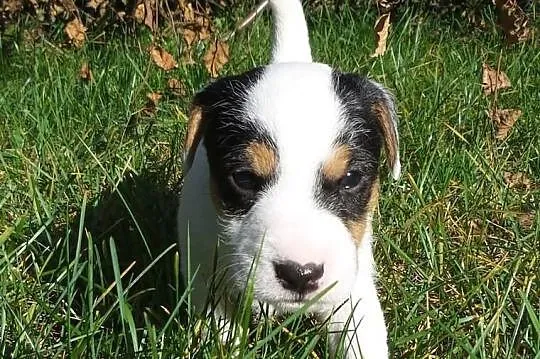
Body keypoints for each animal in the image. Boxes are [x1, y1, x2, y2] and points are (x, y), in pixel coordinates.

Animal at [179, 1, 398, 358]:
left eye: (351, 178)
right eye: (243, 178)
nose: (301, 274)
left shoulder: (353, 290)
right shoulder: (206, 272)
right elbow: (220, 330)